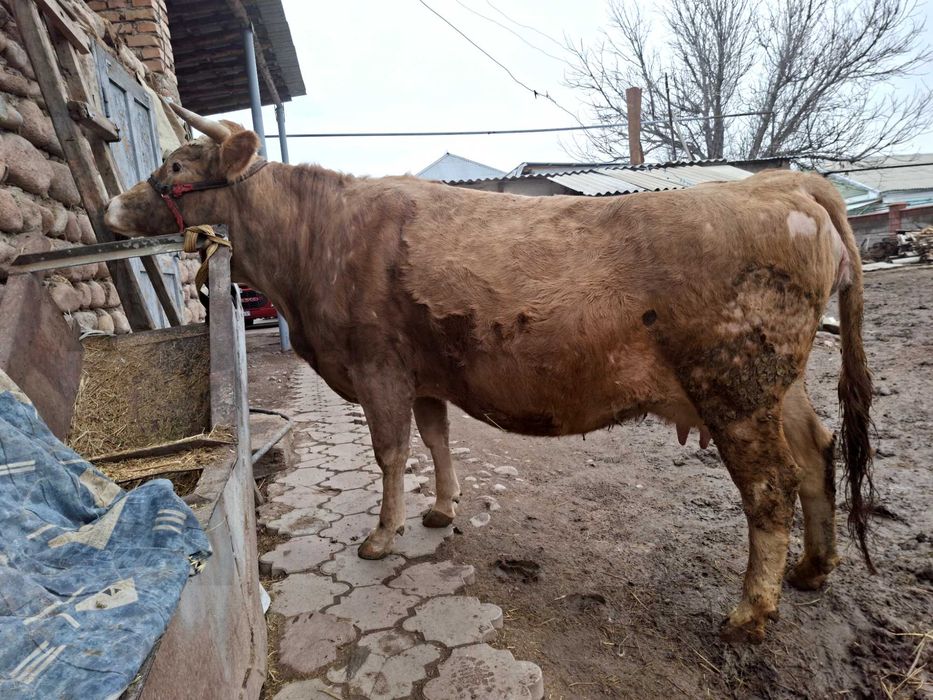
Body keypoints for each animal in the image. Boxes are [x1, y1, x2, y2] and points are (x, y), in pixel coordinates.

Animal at [104, 104, 874, 643]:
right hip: (778, 388)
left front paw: (381, 537)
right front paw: (441, 510)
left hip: (735, 387)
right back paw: (812, 570)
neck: (313, 243)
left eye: (178, 165)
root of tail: (788, 183)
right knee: (815, 453)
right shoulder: (423, 375)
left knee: (769, 488)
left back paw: (749, 613)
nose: (112, 206)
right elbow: (436, 440)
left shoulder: (376, 368)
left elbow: (390, 452)